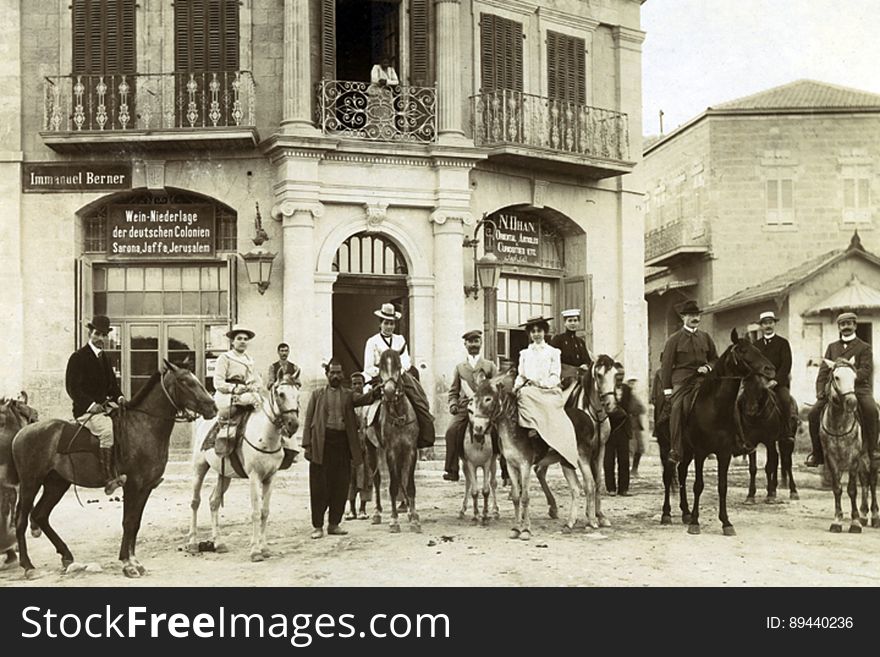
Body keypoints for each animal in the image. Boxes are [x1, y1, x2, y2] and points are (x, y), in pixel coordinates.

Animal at [13, 362, 215, 576]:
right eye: (185, 381)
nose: (213, 406)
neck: (144, 426)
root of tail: (22, 433)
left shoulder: (145, 488)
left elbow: (135, 523)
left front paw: (132, 560)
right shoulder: (133, 485)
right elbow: (128, 521)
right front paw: (129, 564)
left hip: (56, 484)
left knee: (40, 515)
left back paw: (66, 556)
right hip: (30, 484)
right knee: (21, 520)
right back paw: (28, 566)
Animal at [187, 372, 300, 560]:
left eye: (297, 394)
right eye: (281, 394)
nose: (294, 424)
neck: (265, 436)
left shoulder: (270, 478)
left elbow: (264, 512)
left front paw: (265, 548)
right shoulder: (254, 476)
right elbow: (255, 512)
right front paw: (255, 551)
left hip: (224, 475)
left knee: (213, 502)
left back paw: (219, 543)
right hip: (199, 467)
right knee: (195, 501)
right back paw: (193, 543)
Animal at [656, 330, 772, 536]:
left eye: (756, 348)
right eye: (742, 350)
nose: (770, 369)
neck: (713, 407)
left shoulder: (724, 453)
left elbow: (722, 486)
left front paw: (726, 522)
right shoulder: (701, 452)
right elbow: (698, 485)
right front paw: (695, 523)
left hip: (687, 452)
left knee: (682, 473)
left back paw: (685, 512)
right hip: (668, 447)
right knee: (668, 475)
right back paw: (667, 514)